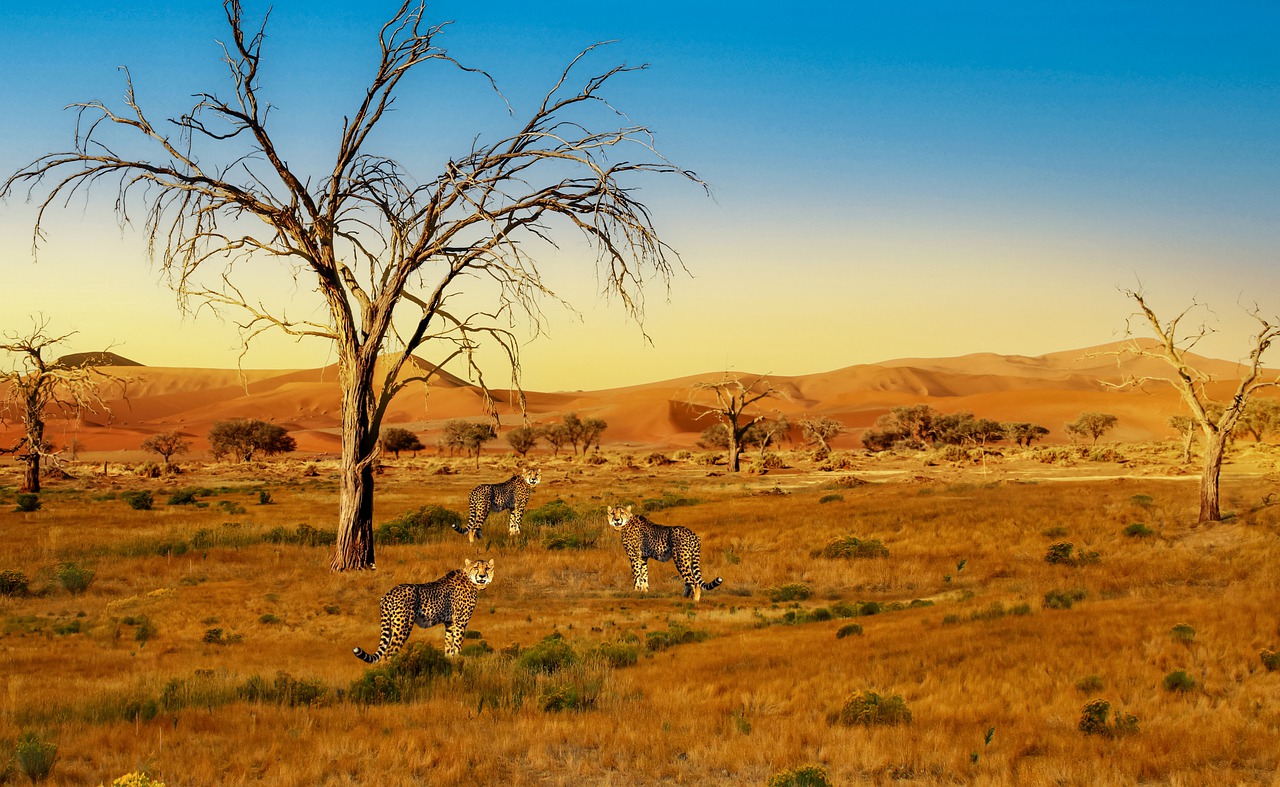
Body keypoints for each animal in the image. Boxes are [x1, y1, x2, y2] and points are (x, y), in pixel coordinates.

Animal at [355, 557, 494, 660]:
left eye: (487, 568)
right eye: (476, 567)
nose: (482, 576)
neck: (472, 581)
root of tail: (388, 594)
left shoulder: (449, 622)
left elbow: (449, 645)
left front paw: (450, 661)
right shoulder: (460, 622)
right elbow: (458, 644)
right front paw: (458, 661)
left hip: (391, 626)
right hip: (403, 626)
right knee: (388, 654)